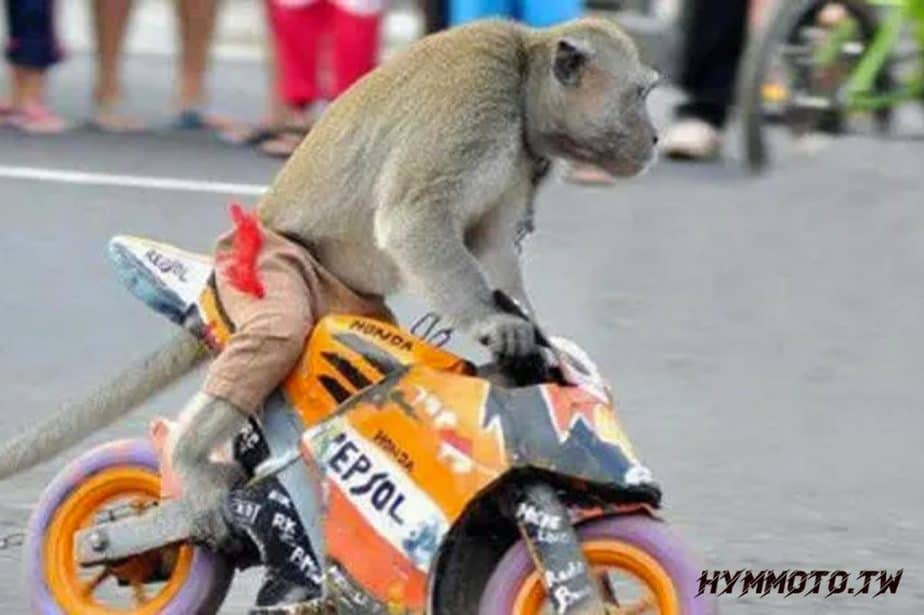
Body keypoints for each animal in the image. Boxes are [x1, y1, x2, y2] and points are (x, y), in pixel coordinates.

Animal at [0, 17, 659, 609]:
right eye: (642, 94)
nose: (654, 140)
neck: (523, 84)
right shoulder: (477, 105)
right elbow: (415, 221)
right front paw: (499, 327)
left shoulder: (525, 163)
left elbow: (494, 250)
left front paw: (537, 338)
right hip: (269, 266)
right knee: (275, 334)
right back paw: (184, 468)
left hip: (342, 294)